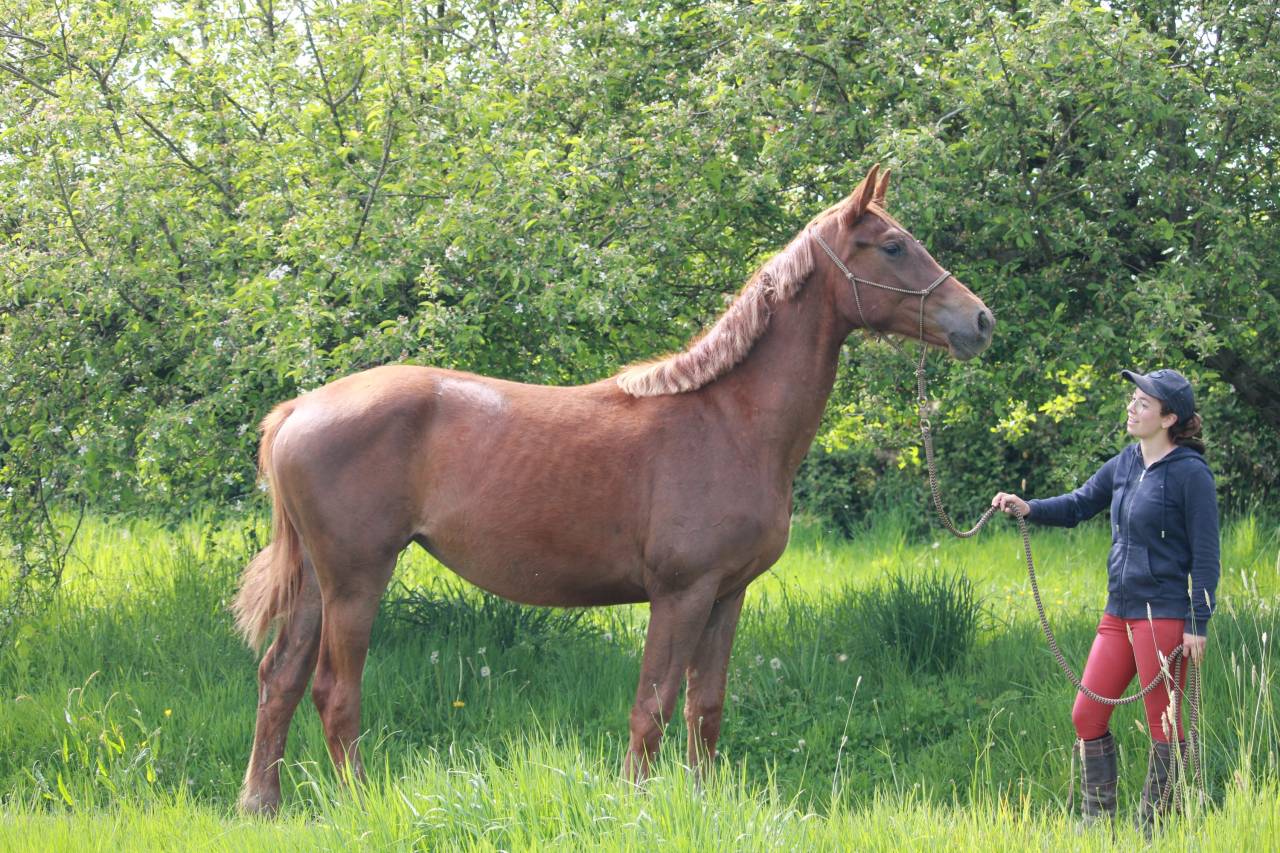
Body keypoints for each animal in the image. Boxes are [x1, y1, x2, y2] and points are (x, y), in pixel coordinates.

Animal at [233, 164, 994, 814]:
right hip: (357, 580)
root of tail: (298, 409)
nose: (980, 320)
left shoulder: (726, 594)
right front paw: (635, 805)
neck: (728, 421)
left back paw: (261, 803)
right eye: (893, 245)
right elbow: (652, 706)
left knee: (280, 678)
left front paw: (701, 803)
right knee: (335, 692)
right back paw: (361, 802)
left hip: (318, 582)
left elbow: (705, 706)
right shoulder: (681, 593)